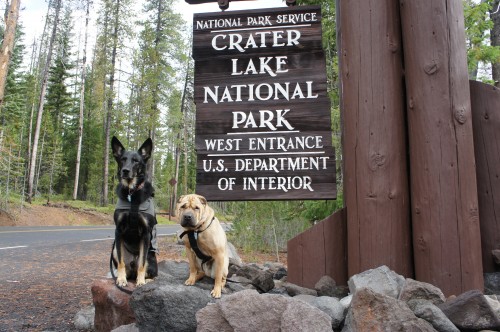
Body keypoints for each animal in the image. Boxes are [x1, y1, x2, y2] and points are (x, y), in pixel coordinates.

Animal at [111, 136, 158, 286]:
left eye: (136, 161)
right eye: (123, 159)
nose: (125, 171)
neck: (132, 192)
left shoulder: (146, 233)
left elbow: (142, 264)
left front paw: (141, 282)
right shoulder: (118, 231)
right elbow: (121, 263)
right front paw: (121, 279)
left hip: (151, 257)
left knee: (152, 273)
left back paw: (146, 280)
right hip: (114, 251)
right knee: (125, 267)